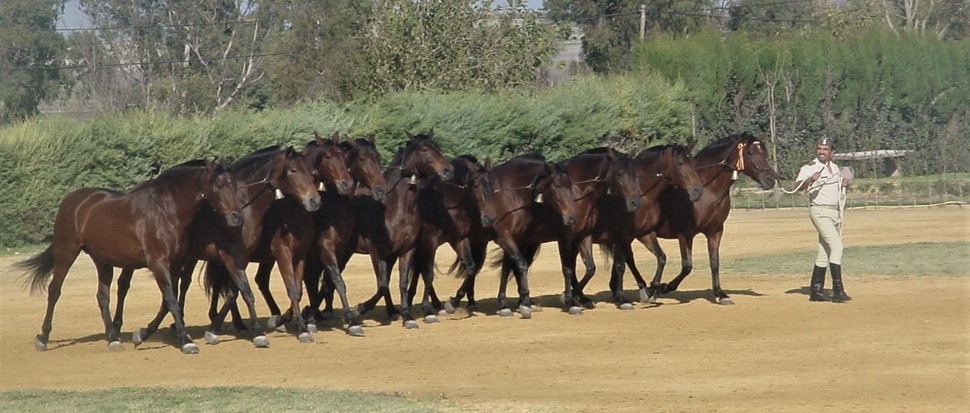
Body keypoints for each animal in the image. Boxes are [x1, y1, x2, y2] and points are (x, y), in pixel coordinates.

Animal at [18, 159, 240, 352]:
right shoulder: (158, 263)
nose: (236, 216)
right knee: (54, 290)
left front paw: (143, 334)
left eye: (233, 184)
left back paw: (113, 338)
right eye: (218, 185)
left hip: (102, 260)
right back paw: (43, 338)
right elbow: (171, 300)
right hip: (66, 251)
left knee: (102, 296)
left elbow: (169, 300)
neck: (164, 211)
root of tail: (72, 200)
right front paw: (186, 341)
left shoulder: (175, 264)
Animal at [444, 153, 576, 318]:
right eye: (557, 185)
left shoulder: (517, 239)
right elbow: (520, 264)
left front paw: (505, 303)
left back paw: (470, 302)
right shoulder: (505, 238)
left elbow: (507, 268)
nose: (571, 217)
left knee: (473, 267)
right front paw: (524, 303)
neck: (511, 194)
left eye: (569, 185)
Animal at [576, 143, 704, 304]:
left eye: (693, 162)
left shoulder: (643, 233)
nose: (698, 191)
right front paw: (623, 295)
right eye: (680, 163)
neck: (642, 194)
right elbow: (621, 264)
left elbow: (660, 258)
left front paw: (650, 289)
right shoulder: (623, 236)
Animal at [636, 132, 780, 302]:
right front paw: (666, 287)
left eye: (764, 152)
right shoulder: (685, 234)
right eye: (750, 152)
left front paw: (720, 293)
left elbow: (714, 262)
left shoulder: (715, 231)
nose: (770, 180)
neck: (707, 190)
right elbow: (687, 266)